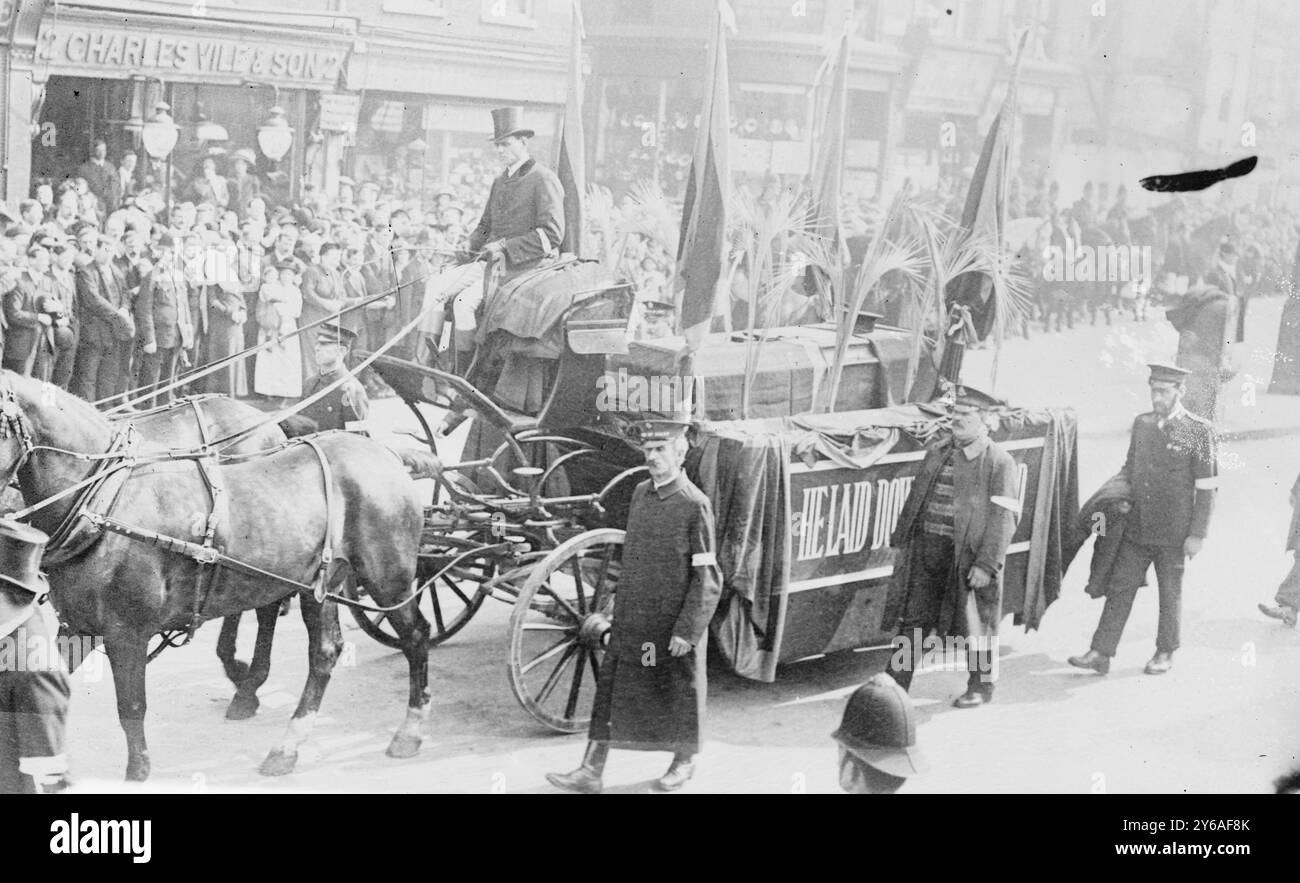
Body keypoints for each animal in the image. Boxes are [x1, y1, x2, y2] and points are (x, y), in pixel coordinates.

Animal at [0, 371, 426, 780]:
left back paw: (410, 730)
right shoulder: (78, 626)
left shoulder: (127, 632)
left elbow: (131, 706)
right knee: (323, 652)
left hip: (388, 578)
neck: (105, 501)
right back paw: (284, 745)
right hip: (319, 584)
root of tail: (384, 452)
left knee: (415, 634)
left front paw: (138, 769)